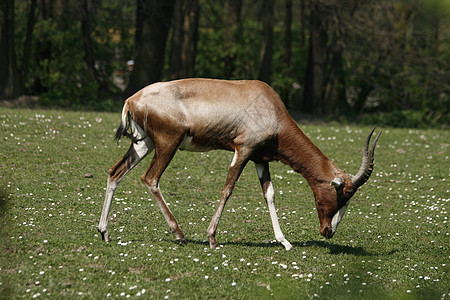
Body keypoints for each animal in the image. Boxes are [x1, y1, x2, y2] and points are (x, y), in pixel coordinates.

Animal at [97, 78, 380, 250]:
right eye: (344, 195)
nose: (327, 231)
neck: (267, 104)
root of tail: (133, 100)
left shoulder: (260, 159)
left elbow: (269, 194)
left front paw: (285, 242)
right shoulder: (243, 151)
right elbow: (227, 189)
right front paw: (212, 238)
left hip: (143, 144)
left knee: (115, 173)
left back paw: (104, 232)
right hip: (168, 144)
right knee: (150, 179)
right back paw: (179, 233)